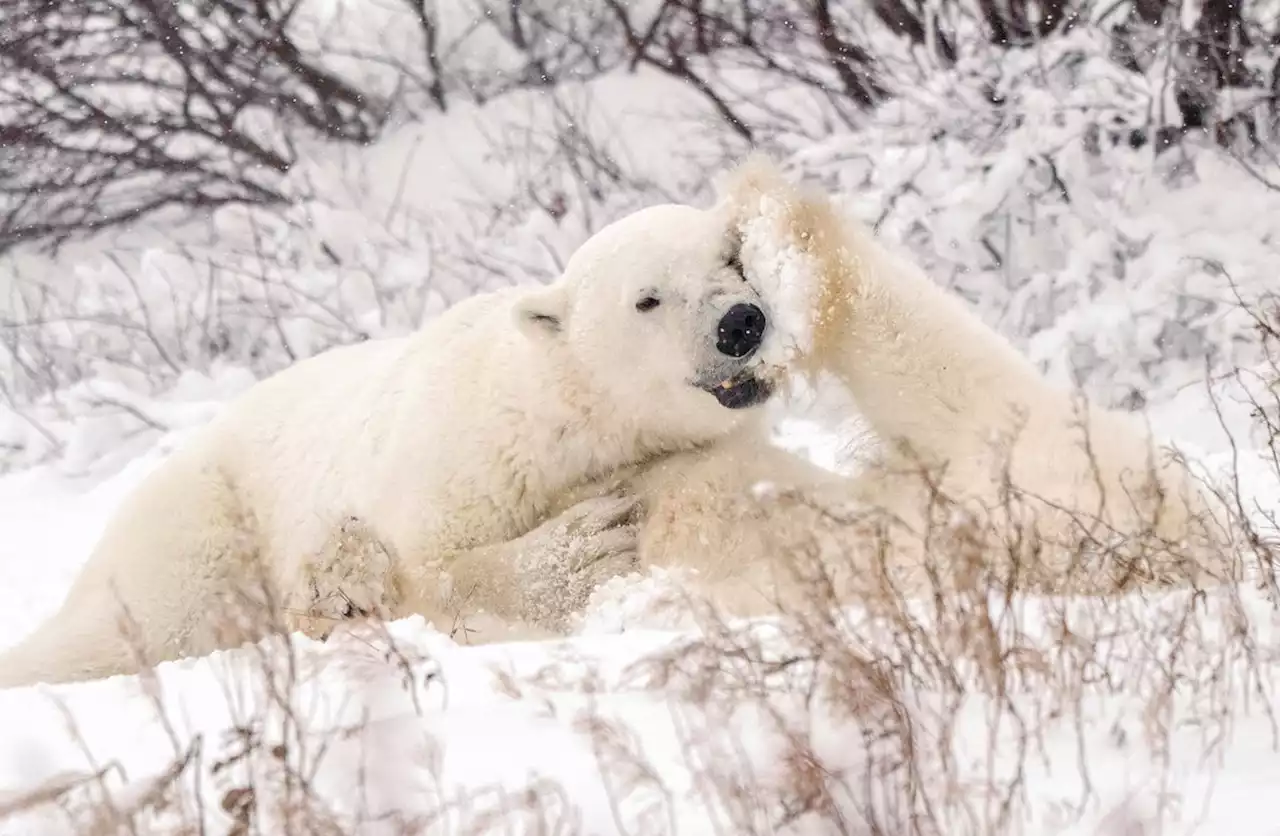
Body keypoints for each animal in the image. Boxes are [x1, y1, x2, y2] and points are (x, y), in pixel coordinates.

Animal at [0, 198, 778, 686]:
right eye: (647, 297)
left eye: (731, 260)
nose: (741, 323)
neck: (565, 419)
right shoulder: (460, 456)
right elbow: (425, 569)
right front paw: (586, 543)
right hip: (201, 522)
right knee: (136, 626)